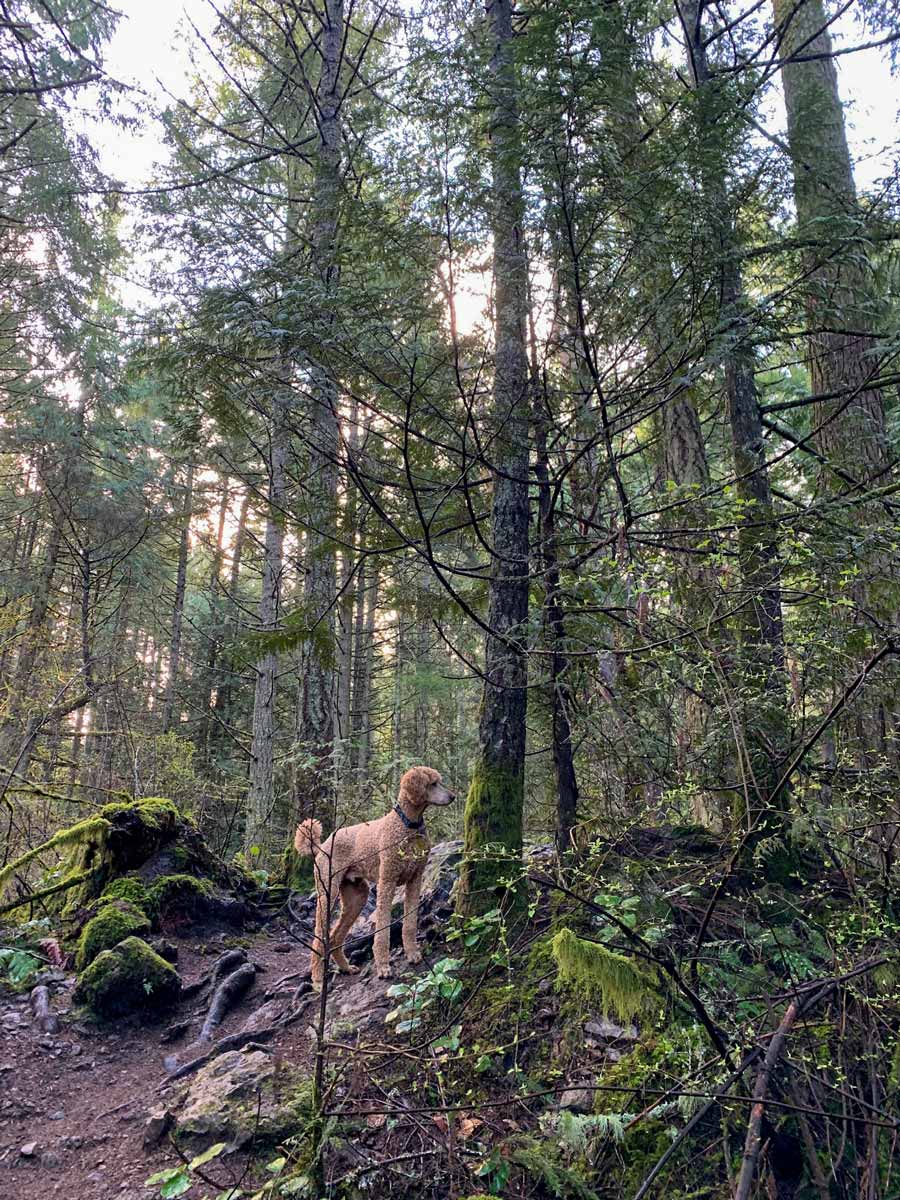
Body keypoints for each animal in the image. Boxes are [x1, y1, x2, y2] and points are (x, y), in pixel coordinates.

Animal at [294, 763, 453, 988]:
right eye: (432, 784)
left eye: (439, 781)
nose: (453, 796)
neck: (407, 826)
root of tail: (321, 846)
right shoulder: (387, 881)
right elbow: (383, 929)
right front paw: (384, 967)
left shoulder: (415, 880)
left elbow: (410, 924)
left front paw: (413, 954)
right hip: (327, 891)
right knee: (318, 937)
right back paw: (317, 980)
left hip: (357, 895)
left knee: (334, 937)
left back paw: (346, 968)